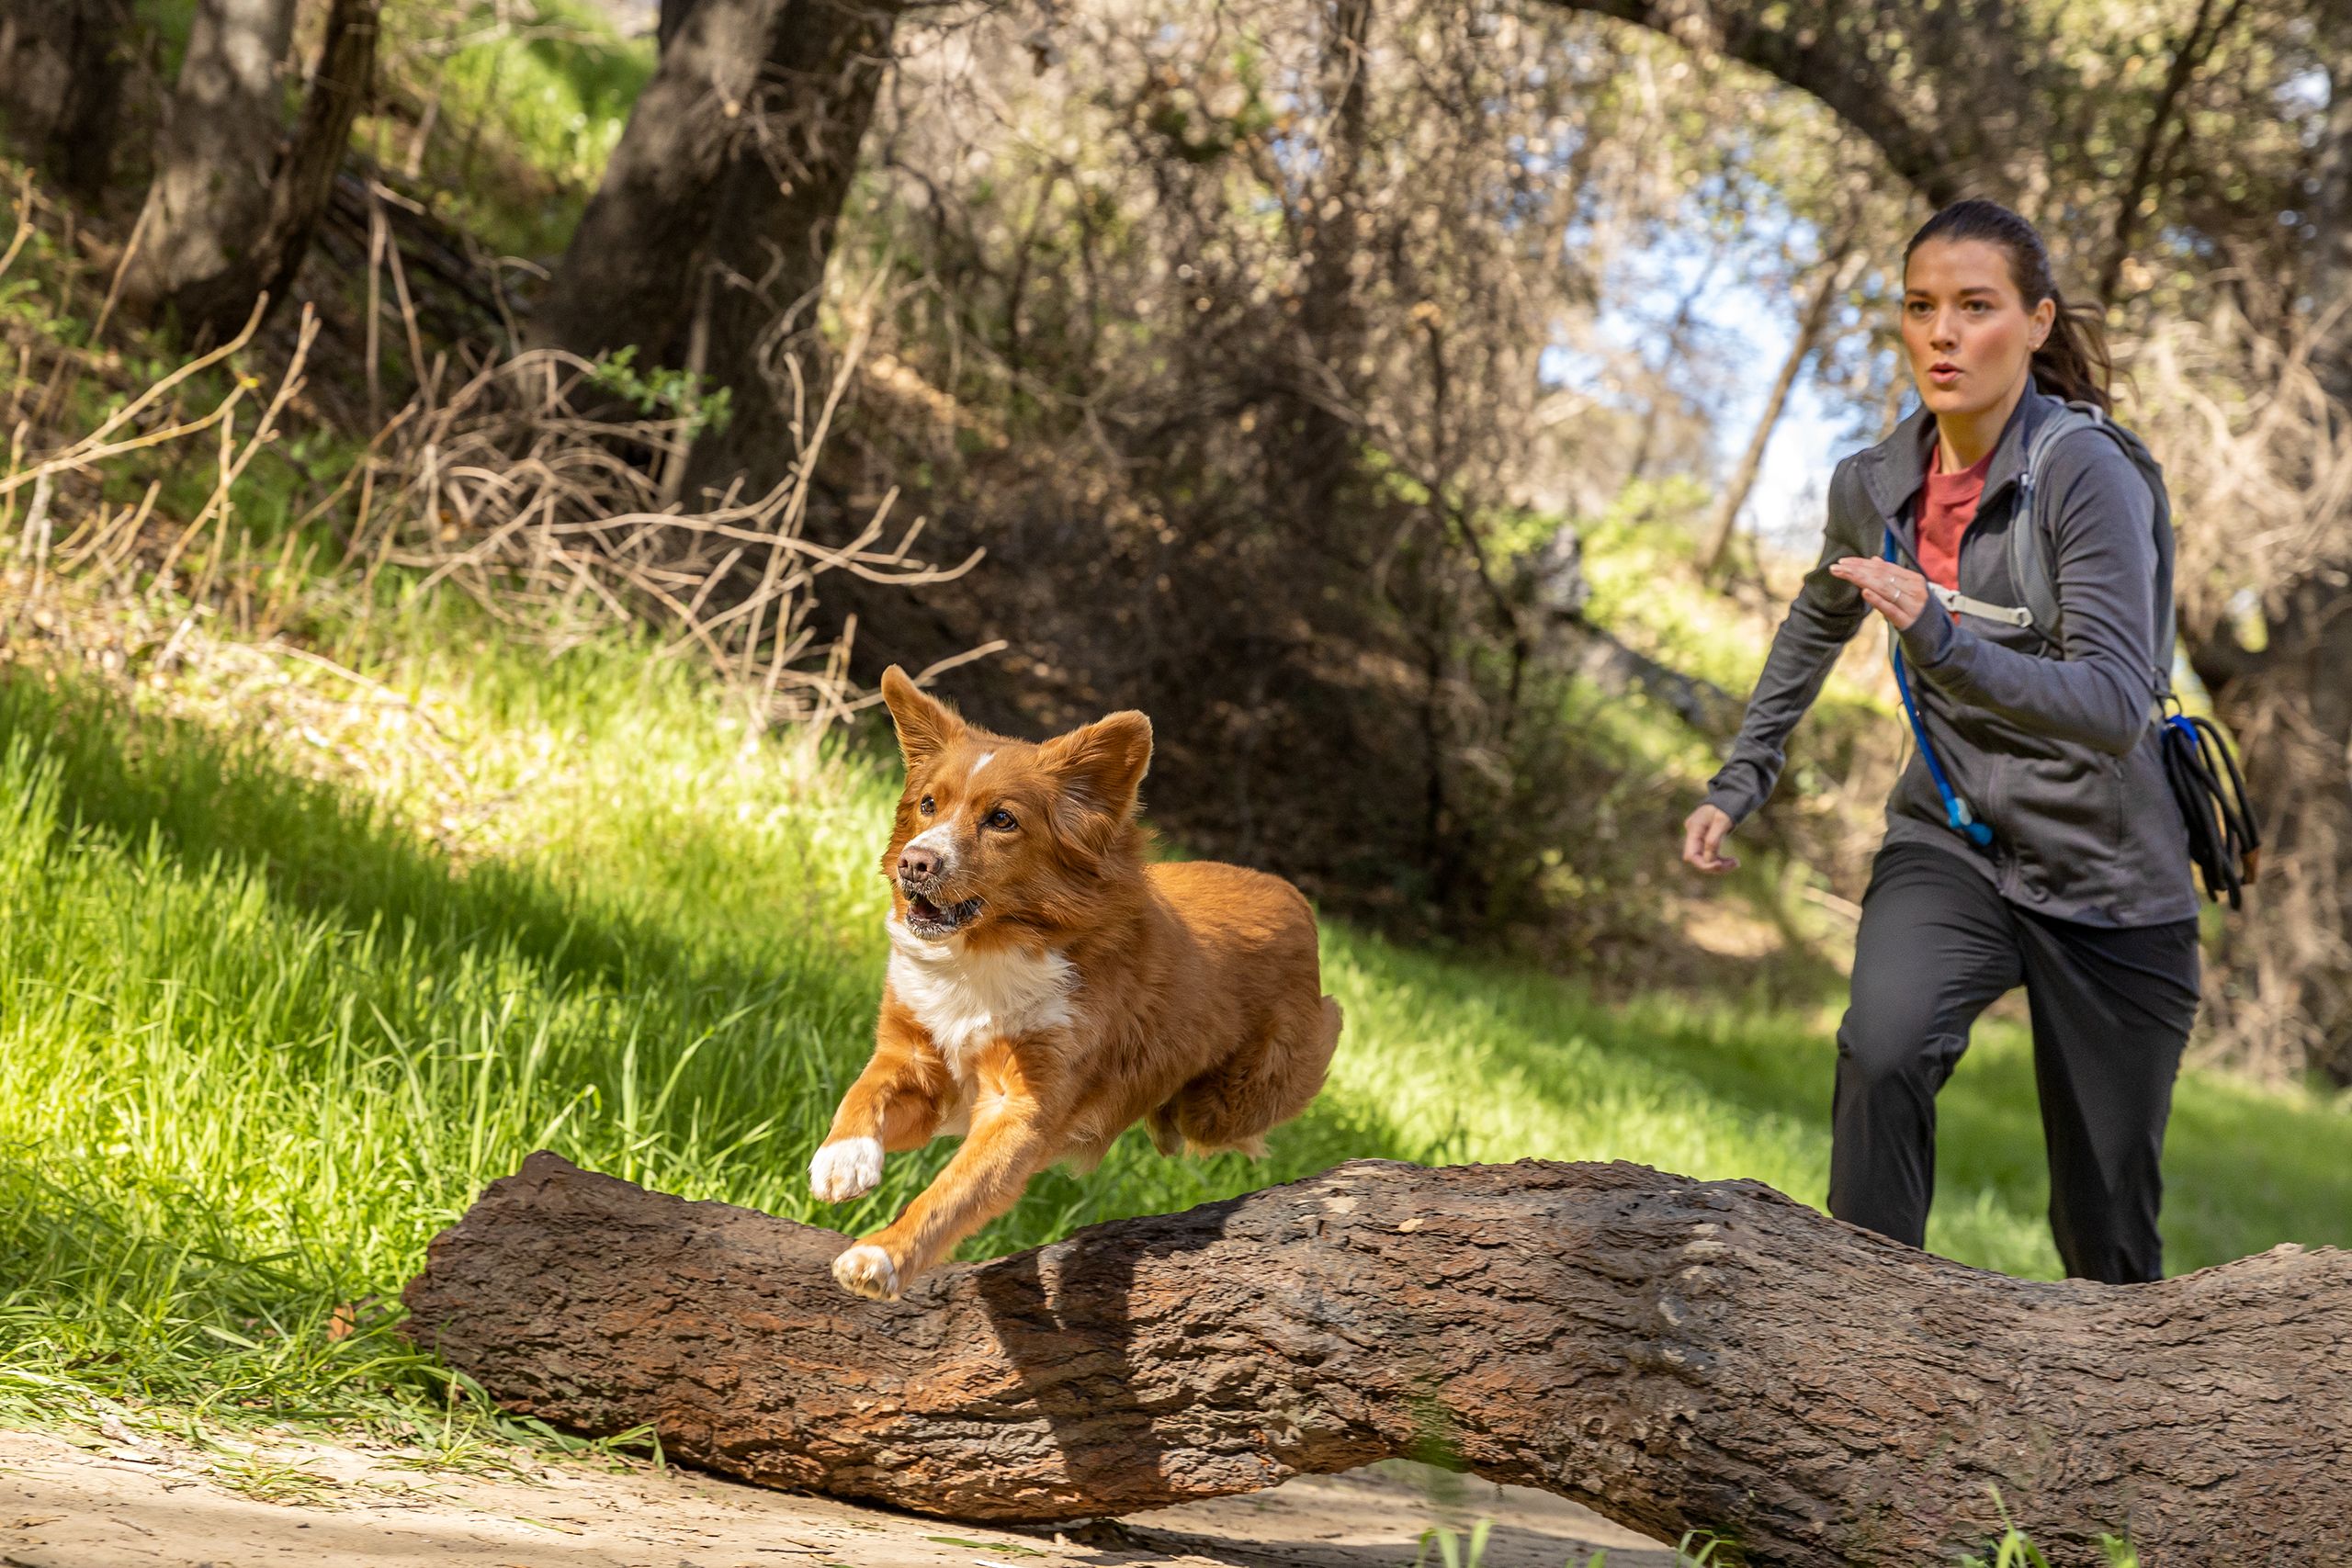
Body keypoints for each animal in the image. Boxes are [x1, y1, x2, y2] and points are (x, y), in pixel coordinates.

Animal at [804, 667, 1345, 1297]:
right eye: (928, 805)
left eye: (1002, 820)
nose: (914, 863)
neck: (987, 955)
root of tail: (1291, 894)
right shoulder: (916, 1057)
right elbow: (864, 1089)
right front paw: (843, 1157)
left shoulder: (1023, 1108)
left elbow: (952, 1191)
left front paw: (884, 1253)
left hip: (1230, 1101)